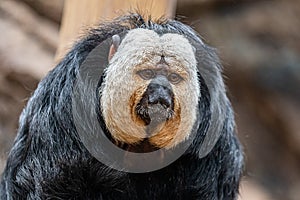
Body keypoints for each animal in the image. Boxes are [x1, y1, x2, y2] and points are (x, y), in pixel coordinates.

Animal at [0, 13, 244, 199]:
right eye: (148, 74)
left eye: (173, 78)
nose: (161, 91)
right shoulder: (66, 103)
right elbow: (54, 183)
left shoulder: (215, 134)